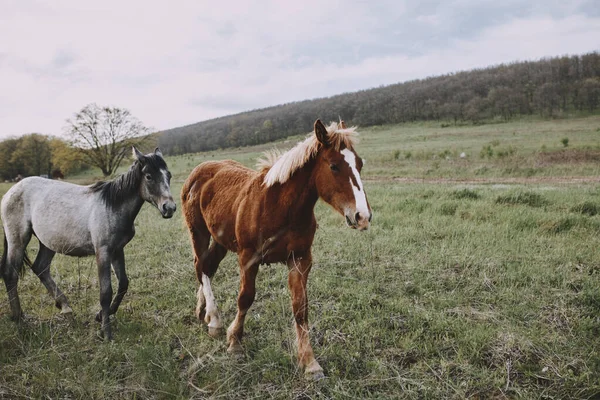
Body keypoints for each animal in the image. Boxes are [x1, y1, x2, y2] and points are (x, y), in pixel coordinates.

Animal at [0, 146, 176, 338]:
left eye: (168, 175)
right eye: (149, 176)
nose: (169, 208)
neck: (112, 206)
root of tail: (11, 191)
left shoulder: (117, 250)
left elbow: (123, 284)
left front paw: (100, 316)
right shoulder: (103, 251)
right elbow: (106, 292)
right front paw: (106, 332)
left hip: (48, 242)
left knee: (41, 268)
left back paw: (65, 307)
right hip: (18, 240)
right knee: (11, 274)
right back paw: (19, 319)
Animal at [180, 118, 372, 378]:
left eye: (359, 163)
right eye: (334, 166)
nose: (363, 216)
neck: (280, 207)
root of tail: (199, 170)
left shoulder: (300, 259)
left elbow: (300, 308)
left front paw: (310, 363)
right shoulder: (248, 258)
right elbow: (245, 298)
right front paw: (235, 343)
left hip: (221, 240)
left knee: (207, 268)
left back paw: (204, 312)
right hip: (198, 232)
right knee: (200, 266)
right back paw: (215, 320)